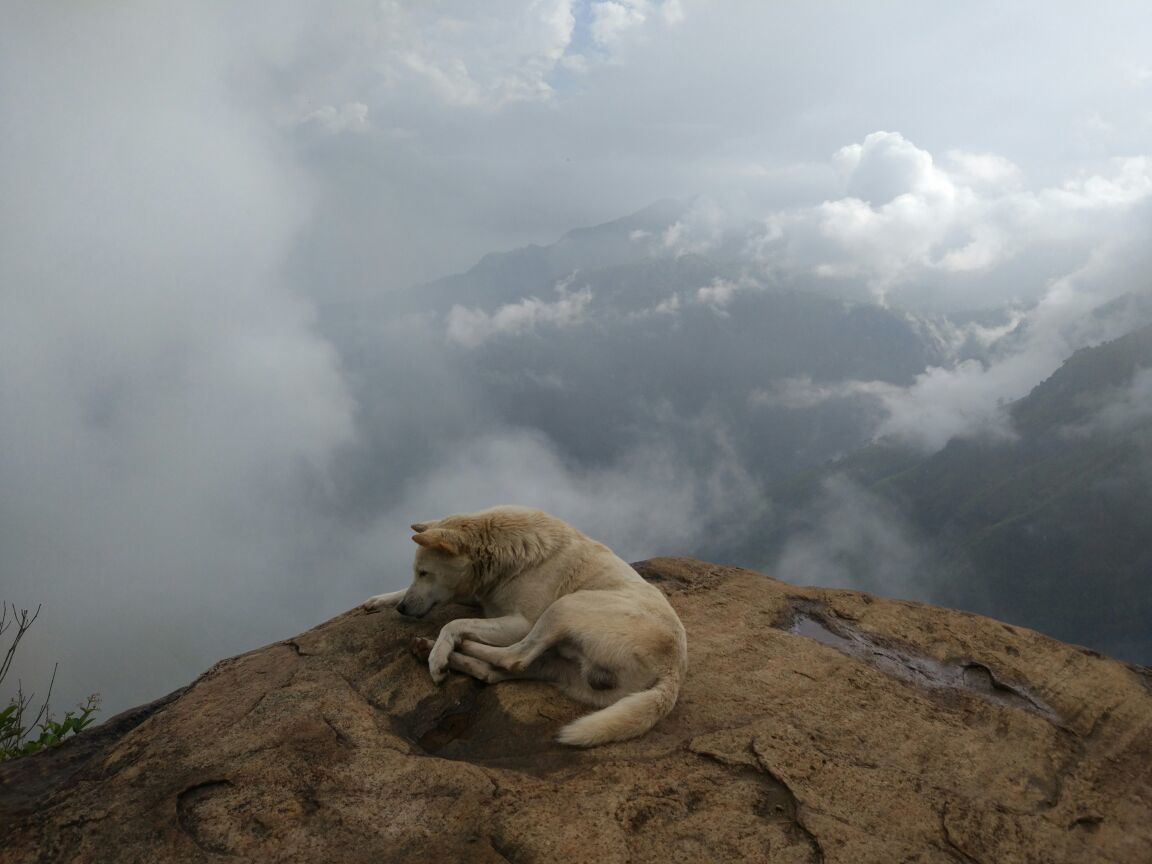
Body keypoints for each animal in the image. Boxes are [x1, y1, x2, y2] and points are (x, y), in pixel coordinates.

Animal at [361, 506, 681, 751]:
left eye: (424, 573)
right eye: (416, 573)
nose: (403, 609)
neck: (507, 552)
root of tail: (672, 671)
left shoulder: (520, 622)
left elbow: (453, 624)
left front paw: (439, 658)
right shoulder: (479, 597)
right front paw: (381, 599)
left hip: (563, 608)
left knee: (513, 656)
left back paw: (446, 649)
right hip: (561, 670)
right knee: (495, 672)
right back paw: (429, 648)